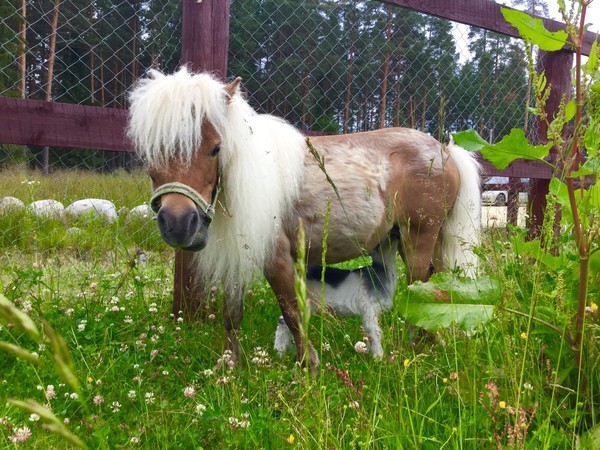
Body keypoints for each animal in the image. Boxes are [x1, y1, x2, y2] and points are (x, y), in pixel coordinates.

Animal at [127, 66, 482, 370]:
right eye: (148, 151)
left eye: (216, 148)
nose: (177, 223)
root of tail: (446, 151)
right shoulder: (239, 252)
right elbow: (232, 313)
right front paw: (230, 366)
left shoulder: (277, 258)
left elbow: (292, 311)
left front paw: (307, 367)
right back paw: (429, 343)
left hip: (418, 239)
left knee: (422, 289)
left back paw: (407, 350)